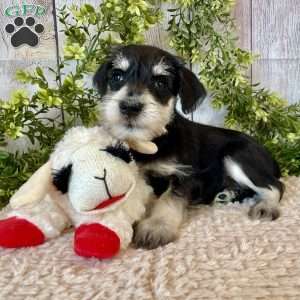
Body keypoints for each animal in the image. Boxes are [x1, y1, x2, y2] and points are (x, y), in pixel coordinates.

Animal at [93, 44, 284, 250]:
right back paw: (226, 194)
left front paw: (157, 227)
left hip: (237, 156)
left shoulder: (186, 176)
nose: (130, 107)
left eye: (161, 82)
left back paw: (266, 207)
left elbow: (168, 199)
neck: (152, 141)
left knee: (275, 185)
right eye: (117, 76)